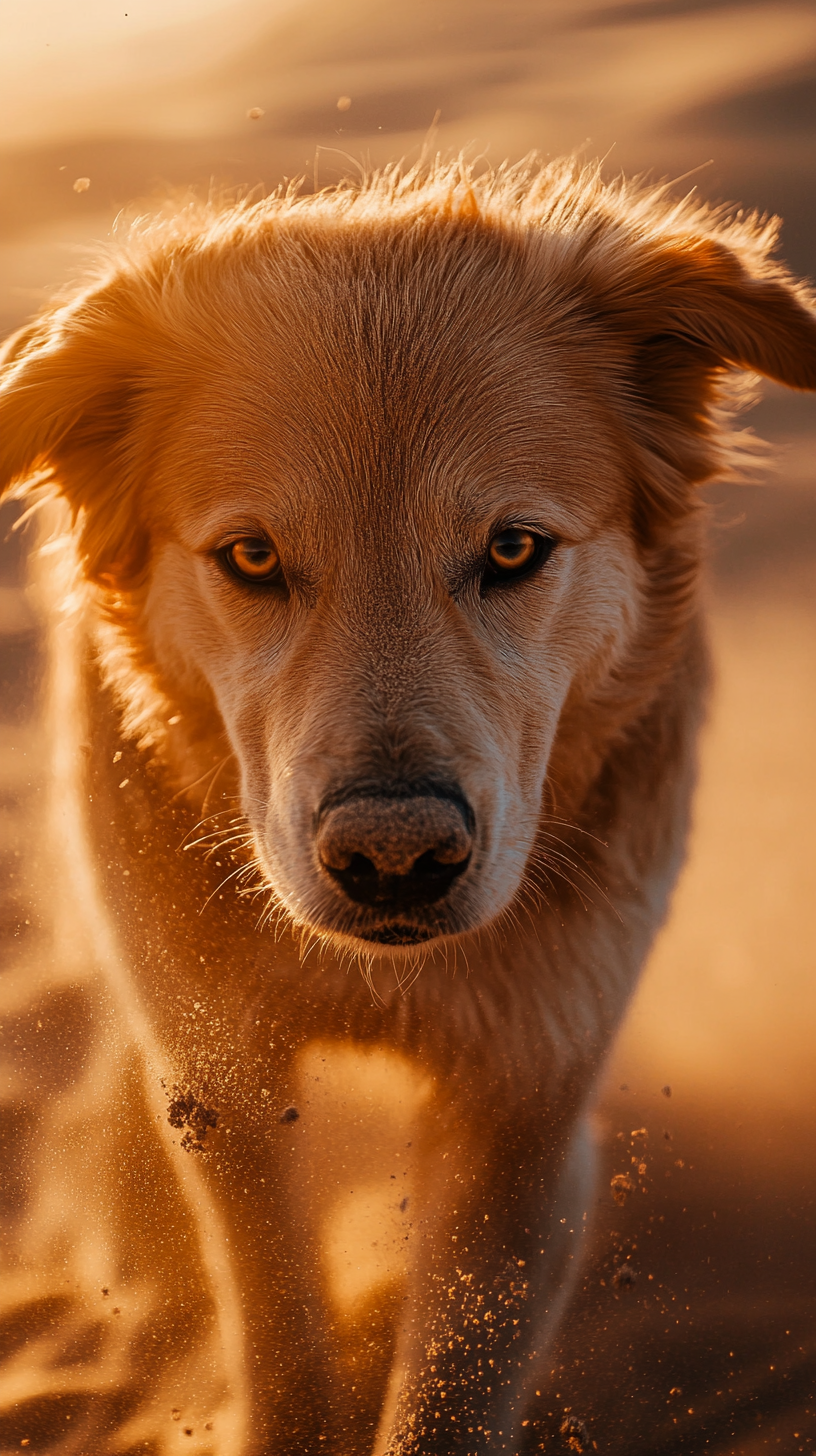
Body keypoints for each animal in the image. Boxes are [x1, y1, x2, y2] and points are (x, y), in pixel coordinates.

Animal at [0, 153, 810, 1450]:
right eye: (252, 557)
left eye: (516, 548)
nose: (393, 859)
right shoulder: (231, 1086)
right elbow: (278, 1322)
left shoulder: (522, 1109)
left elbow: (452, 1383)